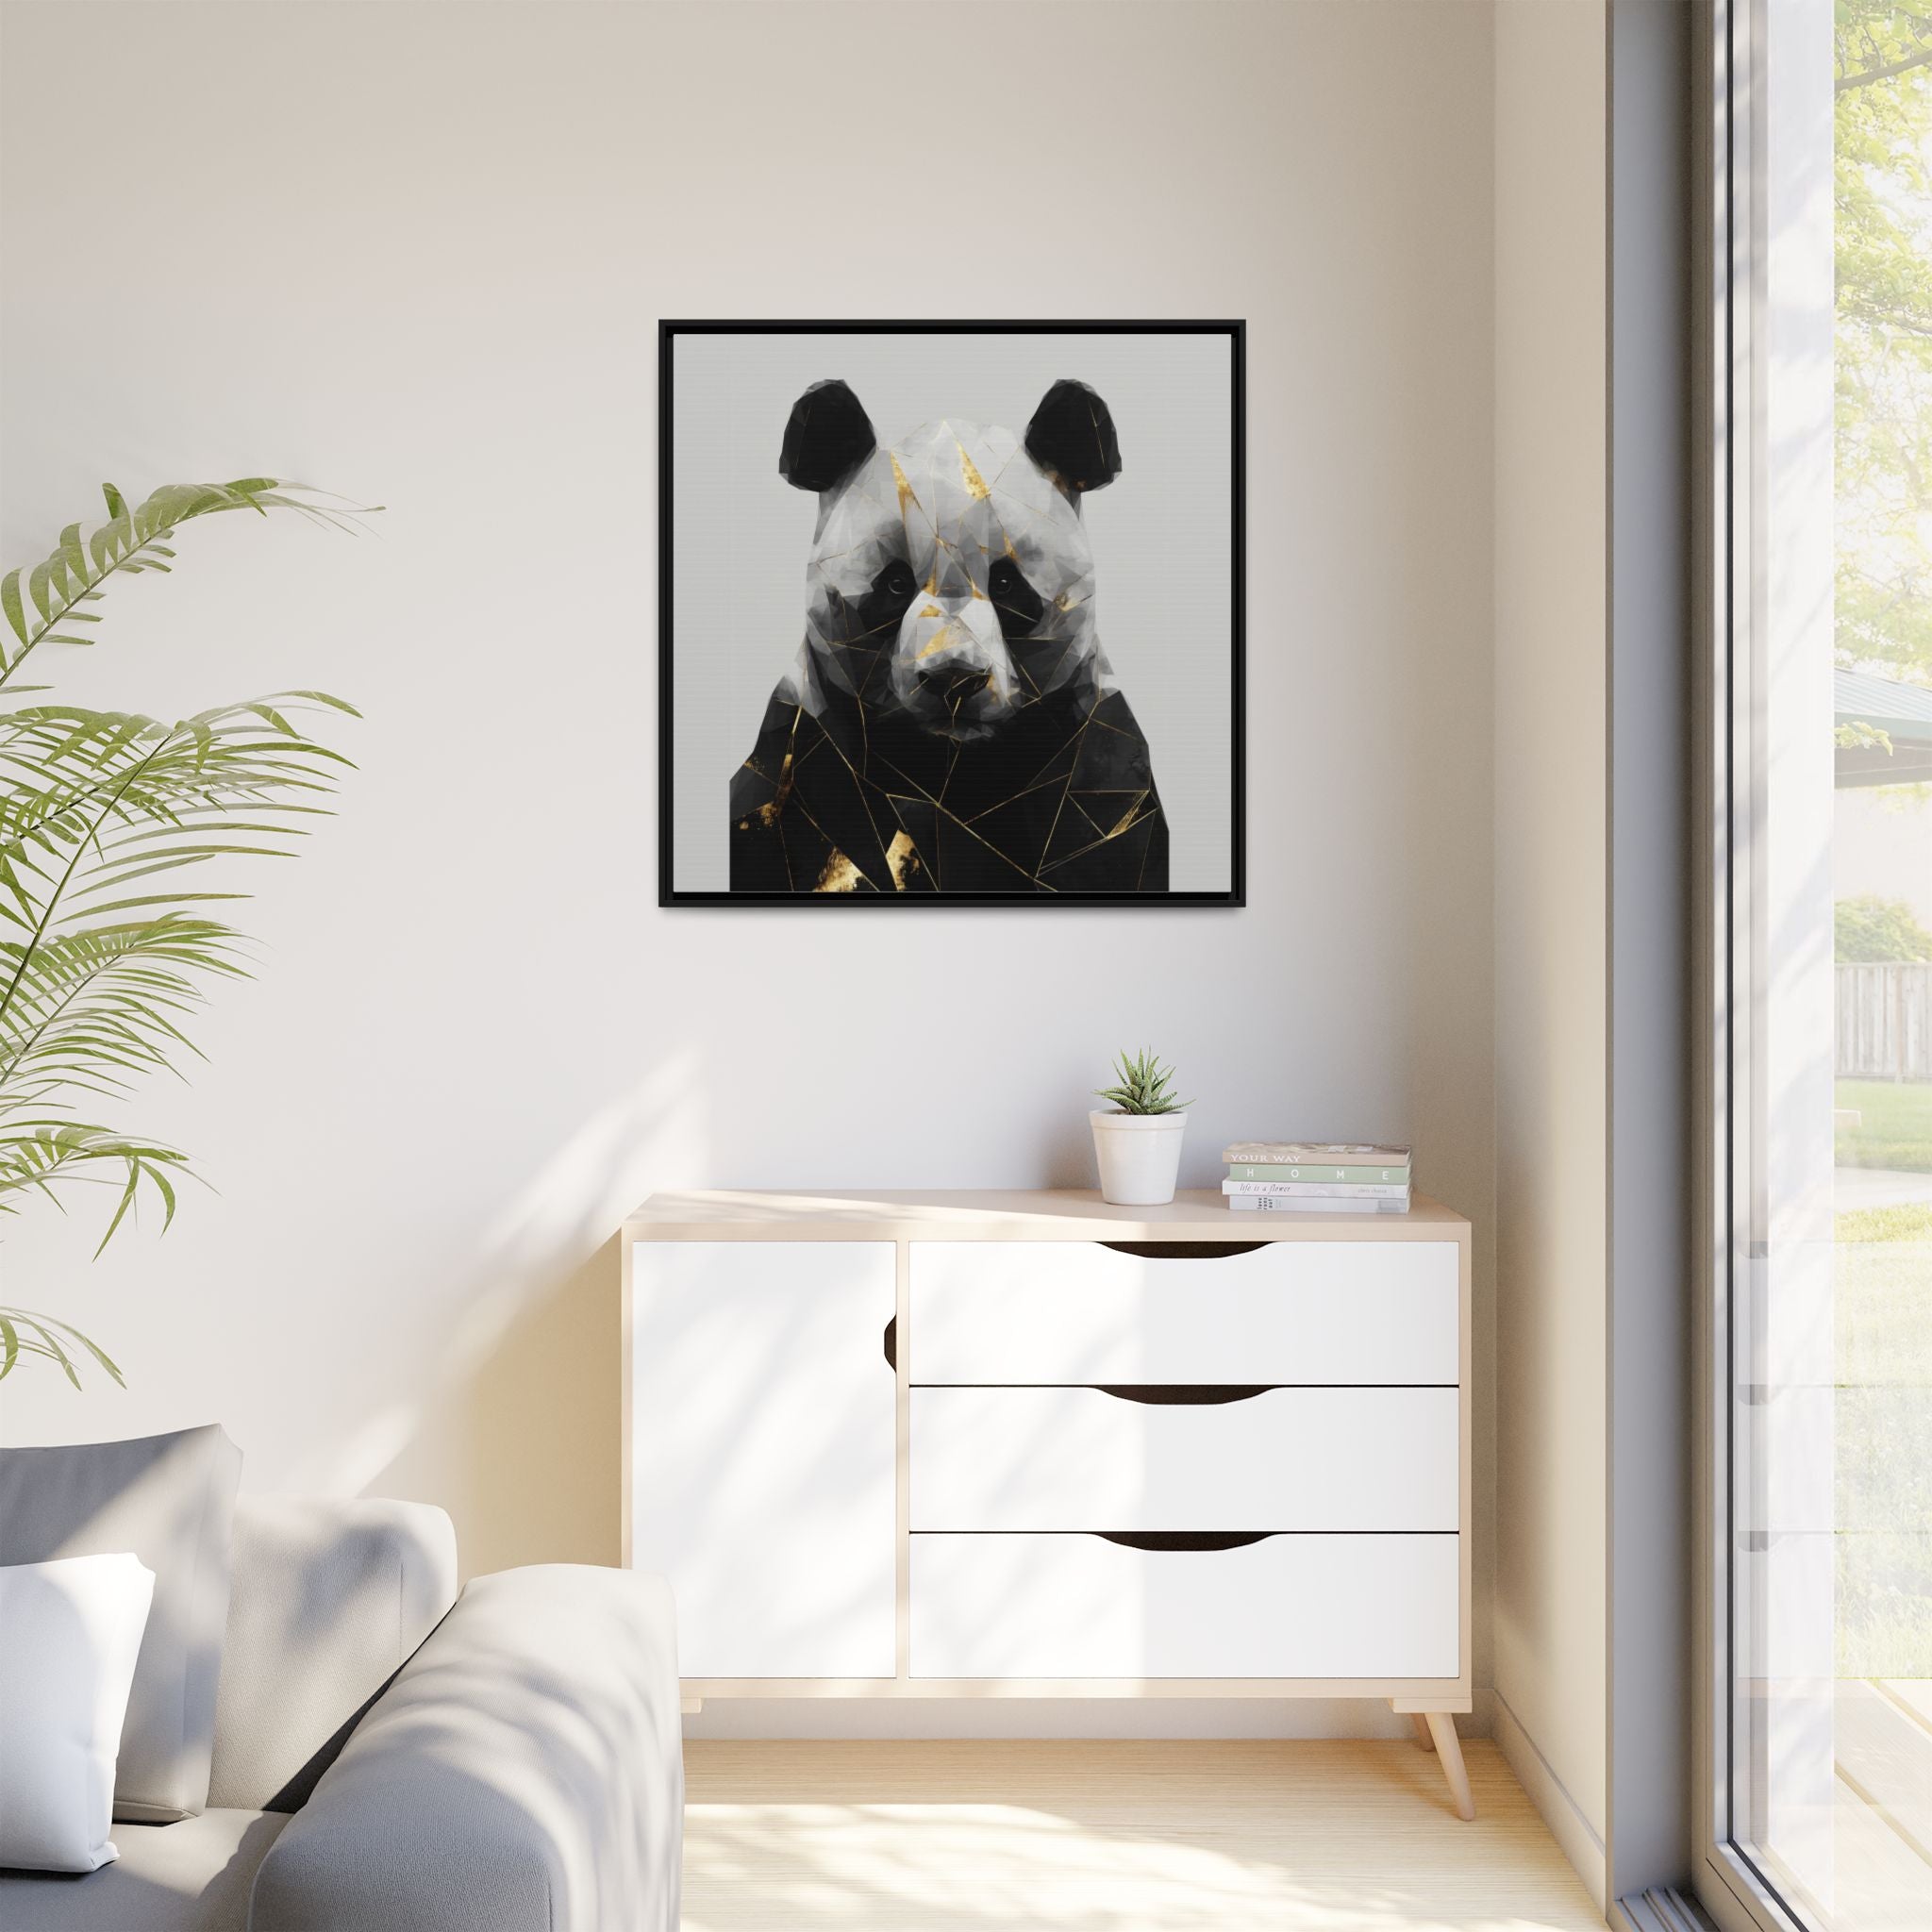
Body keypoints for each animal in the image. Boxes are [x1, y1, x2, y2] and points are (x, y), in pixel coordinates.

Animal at [728, 377, 1169, 894]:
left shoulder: (1096, 768)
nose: (954, 679)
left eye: (1006, 583)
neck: (950, 770)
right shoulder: (804, 760)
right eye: (895, 583)